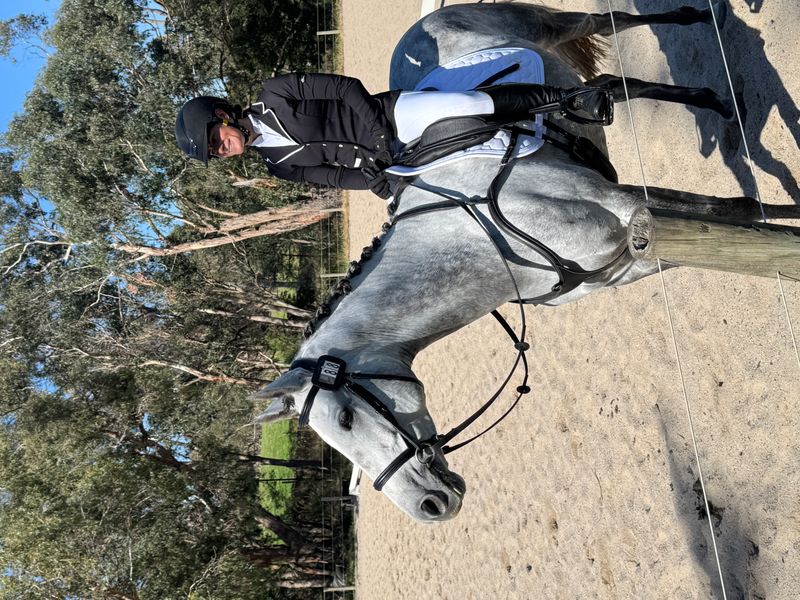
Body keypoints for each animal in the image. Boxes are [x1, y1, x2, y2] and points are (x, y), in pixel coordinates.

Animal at [252, 3, 799, 523]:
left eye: (345, 421)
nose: (430, 508)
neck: (478, 240)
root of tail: (424, 24)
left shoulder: (626, 209)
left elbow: (740, 210)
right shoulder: (628, 262)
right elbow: (736, 227)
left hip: (547, 26)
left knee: (613, 24)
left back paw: (701, 46)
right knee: (613, 82)